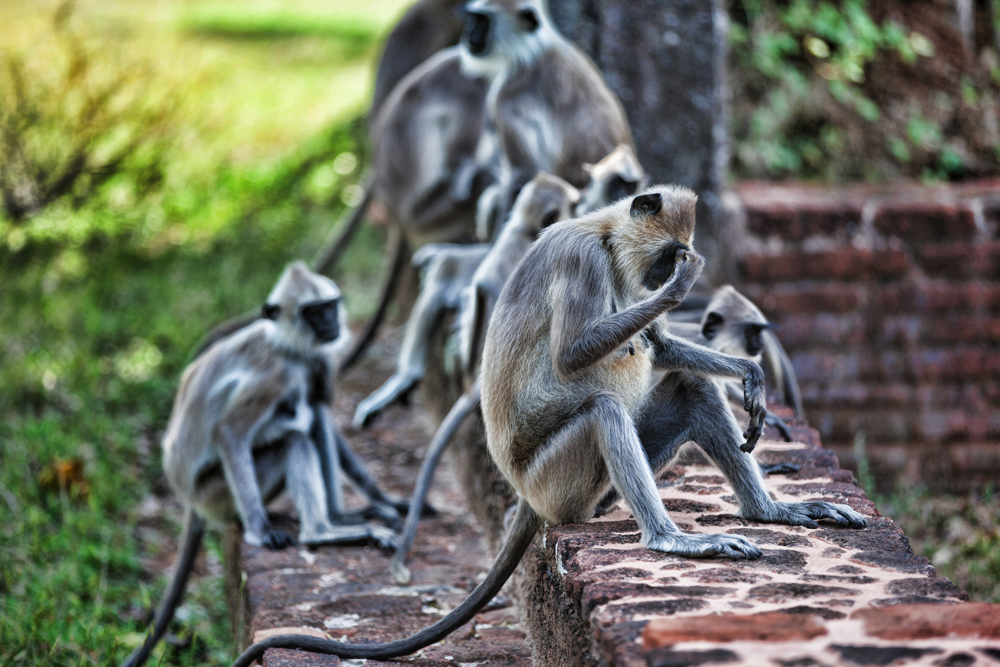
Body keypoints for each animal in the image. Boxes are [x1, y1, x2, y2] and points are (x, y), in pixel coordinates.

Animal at [124, 264, 402, 667]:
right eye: (313, 312)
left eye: (330, 307)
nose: (331, 322)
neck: (288, 347)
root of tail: (189, 497)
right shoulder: (276, 374)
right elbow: (229, 431)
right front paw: (260, 531)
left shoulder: (317, 362)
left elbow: (321, 409)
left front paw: (386, 501)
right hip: (217, 491)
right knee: (294, 439)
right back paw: (321, 531)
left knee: (313, 414)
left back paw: (339, 517)